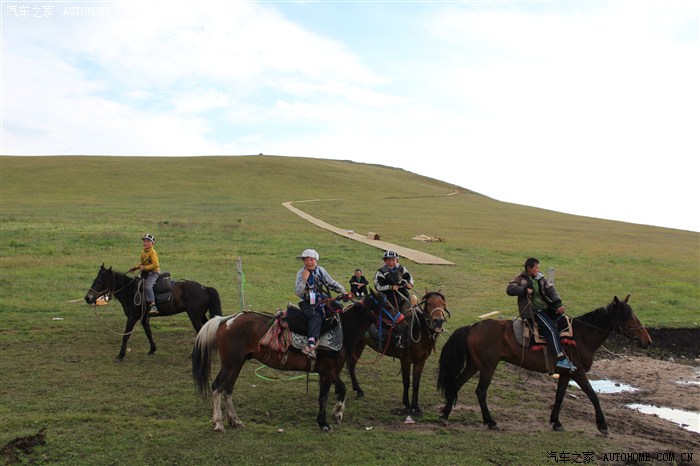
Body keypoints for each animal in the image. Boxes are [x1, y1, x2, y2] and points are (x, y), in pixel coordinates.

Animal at [84, 264, 222, 361]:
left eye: (100, 281)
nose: (88, 298)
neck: (130, 291)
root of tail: (204, 288)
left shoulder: (132, 317)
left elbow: (126, 336)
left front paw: (120, 355)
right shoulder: (144, 318)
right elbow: (148, 333)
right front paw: (152, 349)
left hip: (194, 317)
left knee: (200, 332)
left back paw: (194, 354)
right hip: (201, 316)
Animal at [191, 289, 405, 432]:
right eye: (387, 306)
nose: (402, 322)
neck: (343, 330)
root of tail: (226, 320)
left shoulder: (330, 371)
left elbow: (342, 389)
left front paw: (337, 414)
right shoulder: (327, 372)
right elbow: (323, 397)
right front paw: (324, 422)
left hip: (238, 363)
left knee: (228, 388)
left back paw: (234, 420)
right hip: (231, 363)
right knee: (218, 387)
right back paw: (218, 423)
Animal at [437, 295, 651, 434]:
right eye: (629, 317)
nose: (647, 341)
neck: (582, 337)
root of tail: (473, 326)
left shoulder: (565, 374)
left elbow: (559, 397)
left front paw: (556, 422)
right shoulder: (578, 373)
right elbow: (593, 396)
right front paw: (602, 425)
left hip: (475, 364)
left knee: (456, 384)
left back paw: (445, 416)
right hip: (488, 367)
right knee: (480, 391)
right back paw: (490, 422)